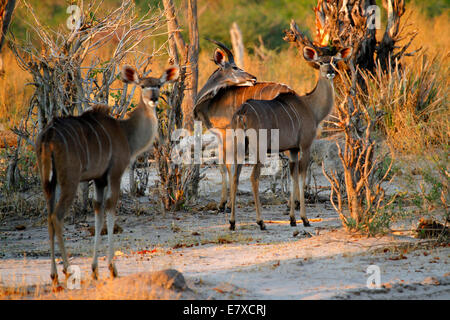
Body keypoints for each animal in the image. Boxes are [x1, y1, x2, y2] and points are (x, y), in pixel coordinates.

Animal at [36, 65, 179, 282]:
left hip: (49, 183)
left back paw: (54, 277)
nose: (153, 98)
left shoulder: (99, 180)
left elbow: (98, 211)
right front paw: (112, 268)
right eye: (143, 85)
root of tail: (49, 135)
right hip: (70, 180)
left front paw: (95, 269)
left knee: (49, 217)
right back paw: (67, 271)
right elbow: (111, 208)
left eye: (159, 85)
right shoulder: (115, 173)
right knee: (57, 217)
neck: (126, 132)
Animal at [194, 40, 296, 212]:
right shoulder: (221, 136)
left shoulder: (227, 133)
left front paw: (227, 204)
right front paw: (222, 204)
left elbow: (230, 165)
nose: (253, 78)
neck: (210, 102)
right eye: (235, 67)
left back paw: (291, 203)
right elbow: (223, 165)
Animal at [230, 45, 354, 230]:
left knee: (235, 175)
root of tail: (242, 112)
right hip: (259, 148)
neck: (311, 107)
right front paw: (305, 219)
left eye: (334, 60)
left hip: (240, 146)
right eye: (320, 62)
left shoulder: (293, 150)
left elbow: (293, 176)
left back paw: (232, 223)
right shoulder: (305, 145)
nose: (331, 72)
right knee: (253, 177)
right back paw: (261, 222)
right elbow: (302, 176)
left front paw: (292, 219)